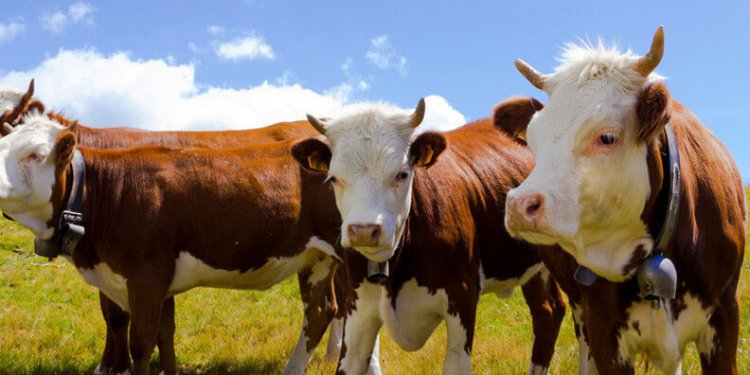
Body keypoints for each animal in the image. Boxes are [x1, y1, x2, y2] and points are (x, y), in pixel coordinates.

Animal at [0, 89, 344, 375]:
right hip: (316, 257)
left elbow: (139, 340)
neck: (106, 190)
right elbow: (162, 334)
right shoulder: (152, 280)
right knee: (320, 311)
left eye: (34, 154)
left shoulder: (146, 276)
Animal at [290, 98, 568, 374]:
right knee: (548, 312)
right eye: (334, 178)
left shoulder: (462, 300)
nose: (364, 231)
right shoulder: (357, 309)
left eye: (402, 174)